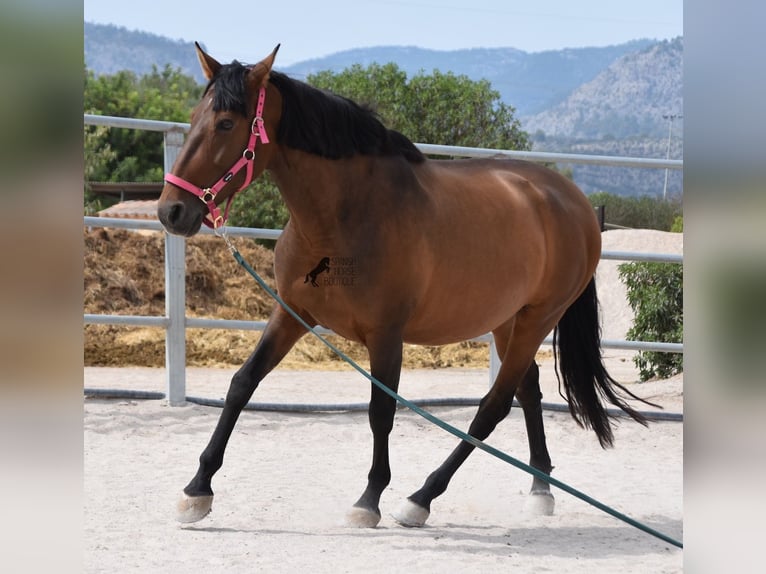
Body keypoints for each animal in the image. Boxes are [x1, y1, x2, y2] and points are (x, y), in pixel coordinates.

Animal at [159, 44, 652, 532]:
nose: (171, 211)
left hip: (538, 318)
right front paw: (196, 490)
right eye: (195, 115)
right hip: (506, 321)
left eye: (227, 123)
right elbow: (243, 384)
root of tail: (572, 200)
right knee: (527, 390)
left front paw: (369, 500)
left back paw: (421, 498)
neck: (345, 217)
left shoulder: (386, 334)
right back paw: (540, 488)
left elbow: (381, 411)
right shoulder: (292, 314)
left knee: (493, 405)